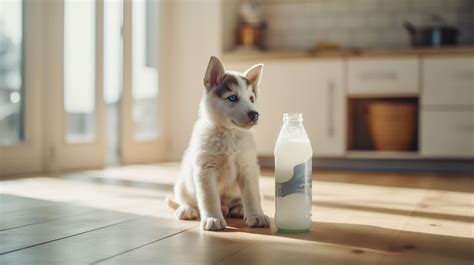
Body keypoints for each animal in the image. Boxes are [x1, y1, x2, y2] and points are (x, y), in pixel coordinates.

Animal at [167, 56, 270, 230]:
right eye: (232, 97)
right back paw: (187, 209)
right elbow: (208, 197)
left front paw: (256, 215)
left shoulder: (248, 168)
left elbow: (251, 195)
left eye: (252, 99)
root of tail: (225, 207)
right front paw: (213, 218)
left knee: (245, 199)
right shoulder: (205, 170)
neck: (229, 133)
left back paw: (239, 209)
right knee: (187, 200)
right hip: (182, 185)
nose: (255, 115)